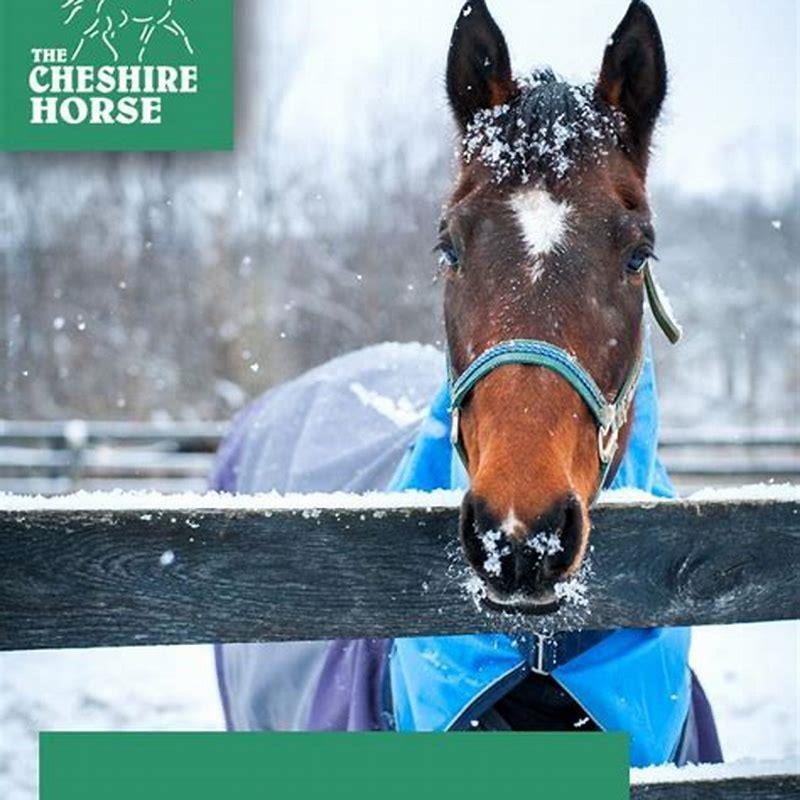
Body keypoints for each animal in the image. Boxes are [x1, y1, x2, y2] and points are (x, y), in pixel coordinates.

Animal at [62, 0, 194, 64]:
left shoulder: (162, 21)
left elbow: (182, 34)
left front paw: (190, 50)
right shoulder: (155, 22)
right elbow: (146, 40)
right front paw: (140, 57)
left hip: (105, 21)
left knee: (88, 34)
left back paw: (74, 56)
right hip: (117, 21)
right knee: (103, 35)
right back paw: (115, 55)